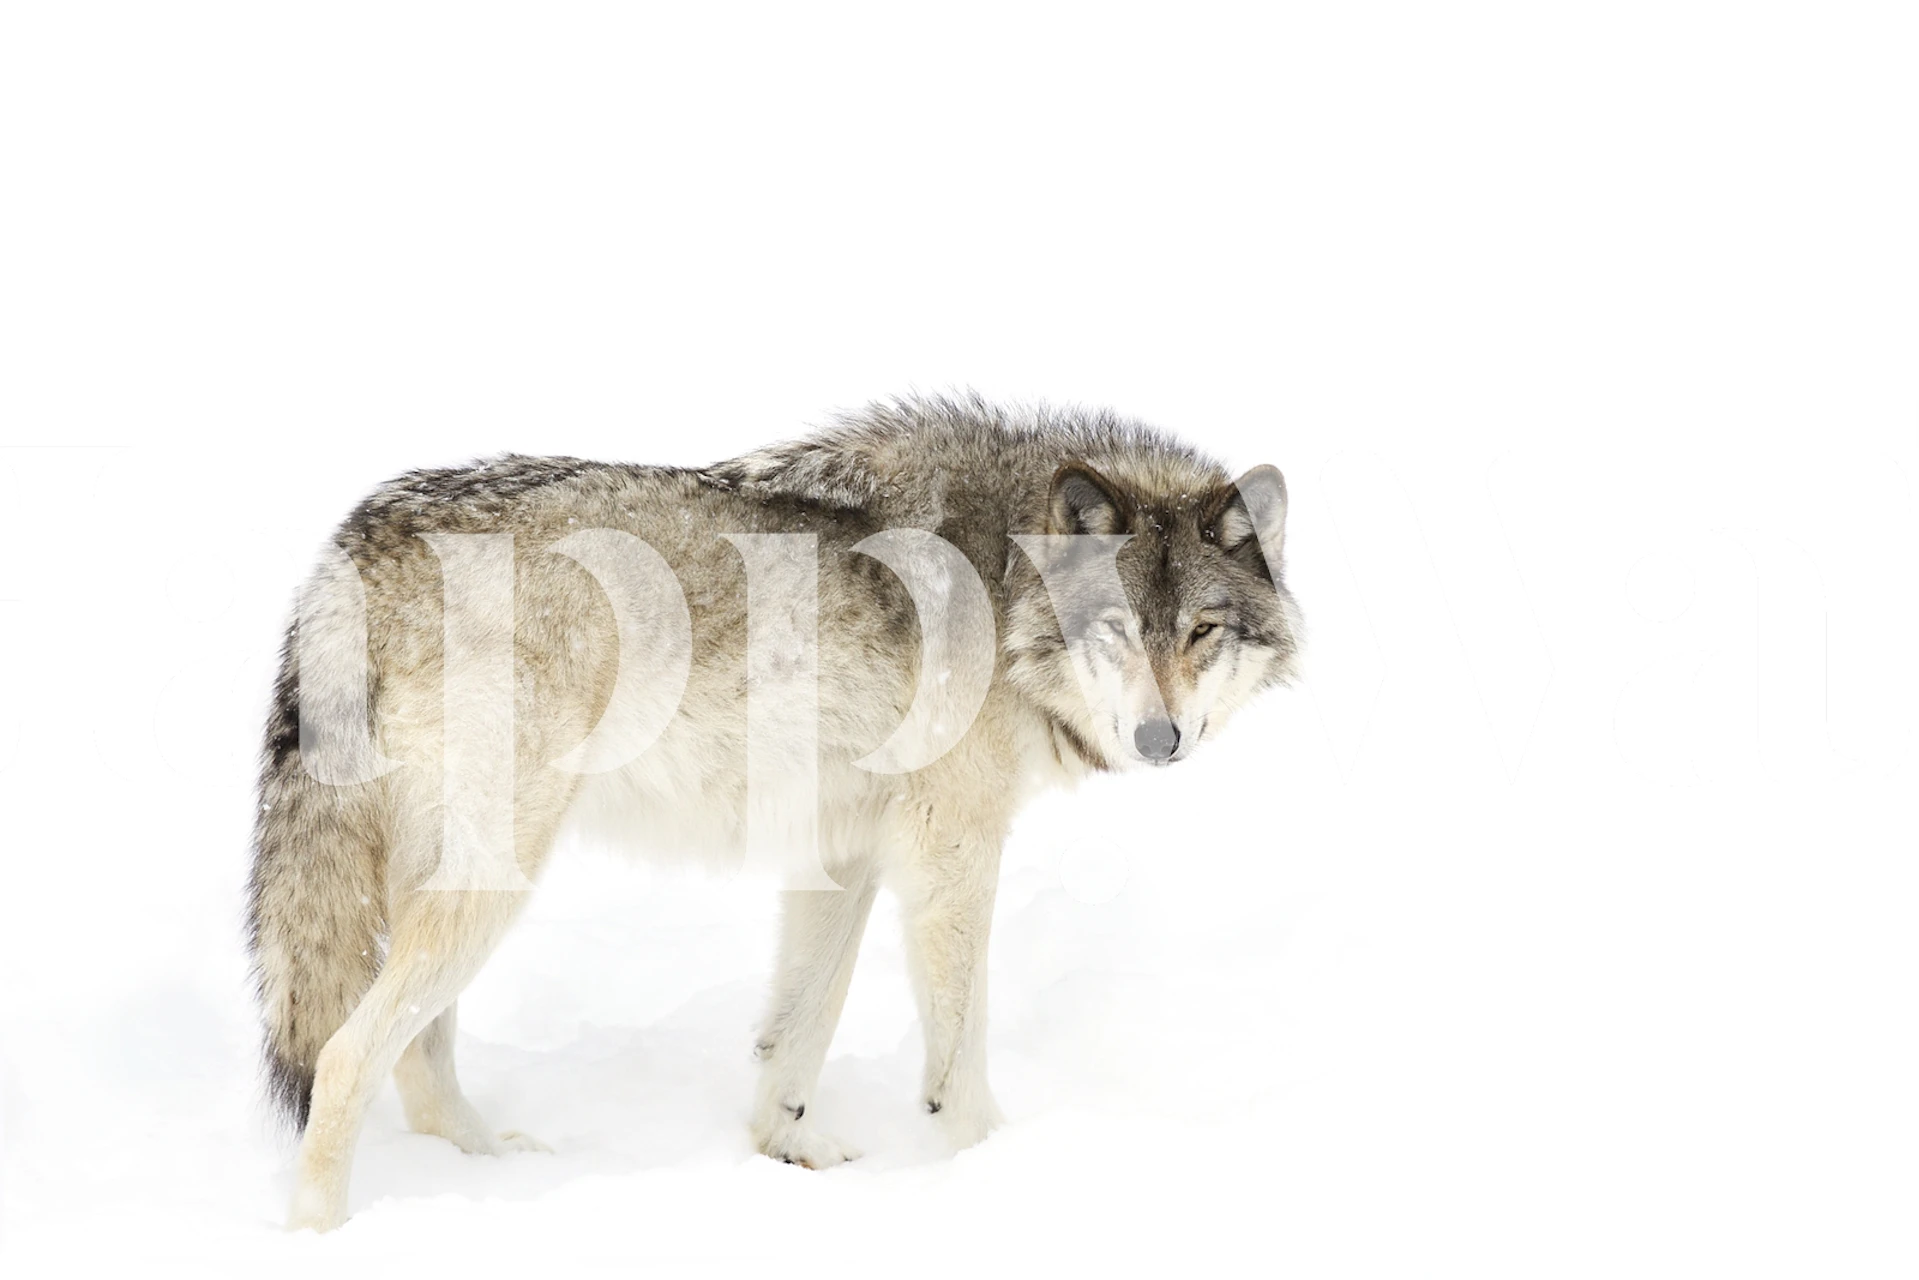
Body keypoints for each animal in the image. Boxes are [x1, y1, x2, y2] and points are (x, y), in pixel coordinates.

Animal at [247, 393, 1301, 1230]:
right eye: (1116, 629)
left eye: (1202, 632)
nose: (1160, 739)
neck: (1009, 582)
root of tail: (352, 542)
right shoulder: (949, 852)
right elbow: (957, 1056)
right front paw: (990, 1168)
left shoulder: (844, 852)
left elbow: (798, 1029)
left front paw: (784, 1152)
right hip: (490, 885)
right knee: (344, 1057)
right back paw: (321, 1236)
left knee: (417, 1060)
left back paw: (493, 1172)